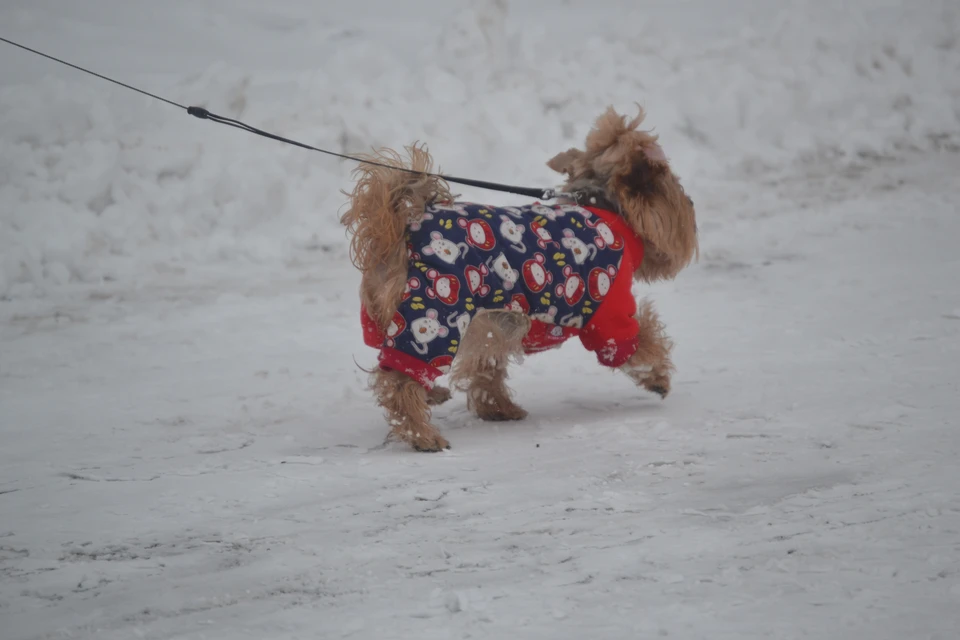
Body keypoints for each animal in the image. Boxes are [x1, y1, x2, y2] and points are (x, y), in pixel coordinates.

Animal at [341, 106, 698, 451]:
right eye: (676, 190)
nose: (692, 203)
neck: (606, 207)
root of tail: (403, 228)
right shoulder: (608, 312)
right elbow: (637, 339)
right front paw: (656, 376)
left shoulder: (492, 321)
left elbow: (486, 365)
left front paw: (496, 406)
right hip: (432, 310)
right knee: (400, 378)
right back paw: (422, 435)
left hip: (389, 317)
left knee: (389, 365)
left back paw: (431, 396)